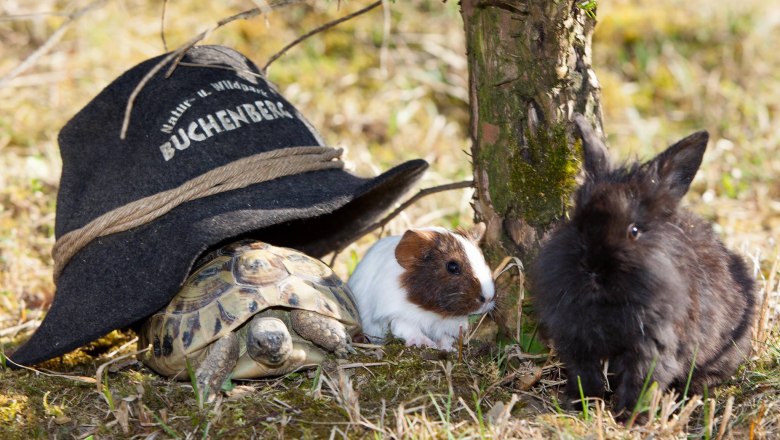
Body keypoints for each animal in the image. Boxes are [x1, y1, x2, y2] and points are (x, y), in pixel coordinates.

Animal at [532, 115, 756, 418]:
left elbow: (641, 382)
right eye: (576, 221)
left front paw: (631, 417)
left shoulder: (652, 346)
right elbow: (585, 376)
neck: (606, 304)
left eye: (634, 230)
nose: (593, 269)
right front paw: (582, 406)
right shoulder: (577, 342)